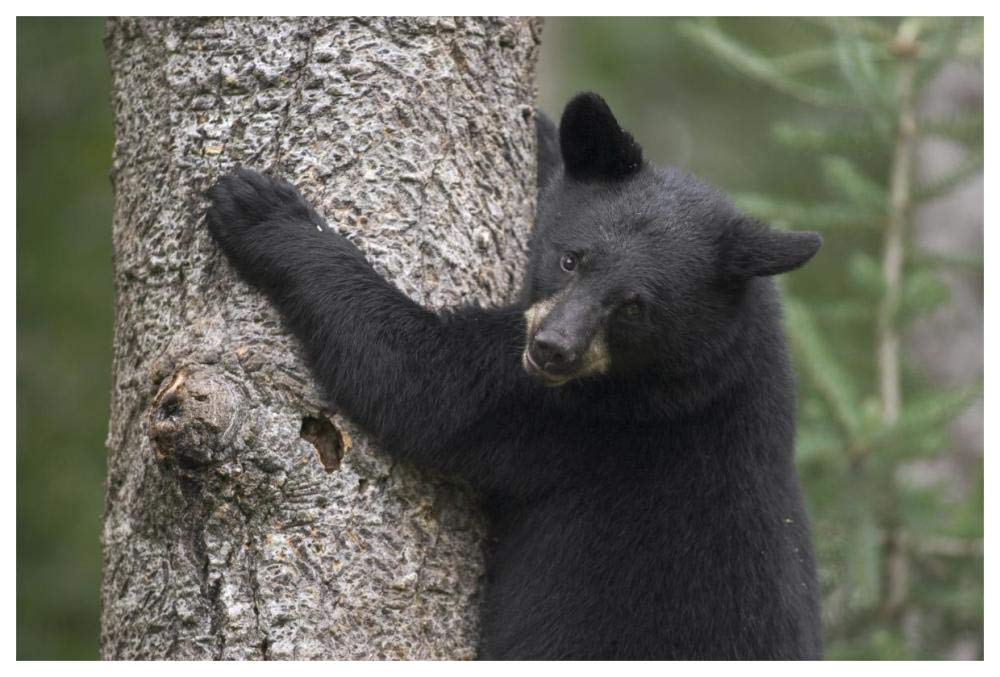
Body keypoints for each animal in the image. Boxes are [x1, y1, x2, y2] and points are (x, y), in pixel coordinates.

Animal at [206, 92, 823, 660]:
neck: (715, 354)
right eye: (571, 258)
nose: (552, 350)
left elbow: (422, 384)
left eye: (634, 306)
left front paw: (264, 212)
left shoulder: (591, 415)